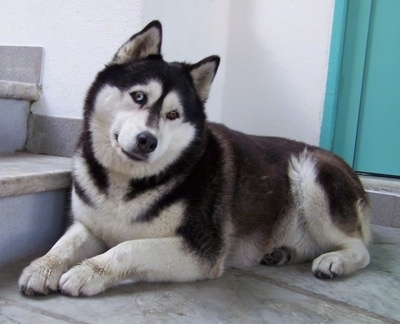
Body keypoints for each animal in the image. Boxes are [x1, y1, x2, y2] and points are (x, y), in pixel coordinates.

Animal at [18, 21, 370, 298]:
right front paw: (42, 266)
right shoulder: (90, 224)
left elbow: (128, 247)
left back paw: (335, 261)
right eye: (139, 96)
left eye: (173, 115)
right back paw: (282, 253)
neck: (127, 184)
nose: (147, 140)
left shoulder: (202, 248)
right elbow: (65, 243)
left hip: (309, 173)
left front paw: (87, 272)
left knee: (362, 250)